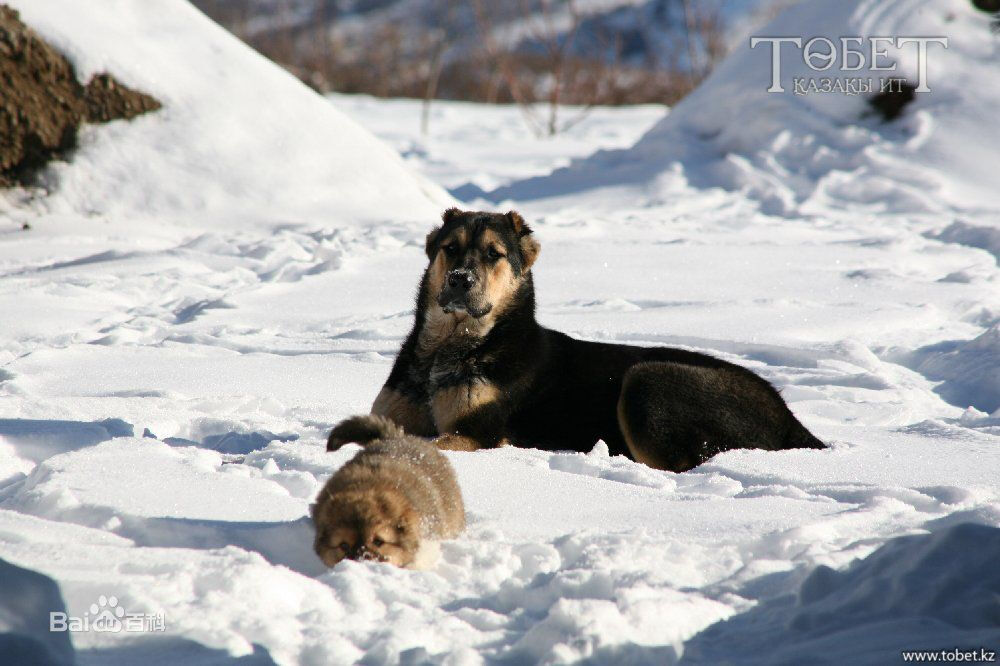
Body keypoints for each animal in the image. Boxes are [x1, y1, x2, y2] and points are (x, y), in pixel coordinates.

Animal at [328, 205, 820, 470]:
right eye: (450, 249)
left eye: (494, 254)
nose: (460, 280)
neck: (450, 349)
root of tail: (793, 423)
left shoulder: (477, 431)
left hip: (648, 379)